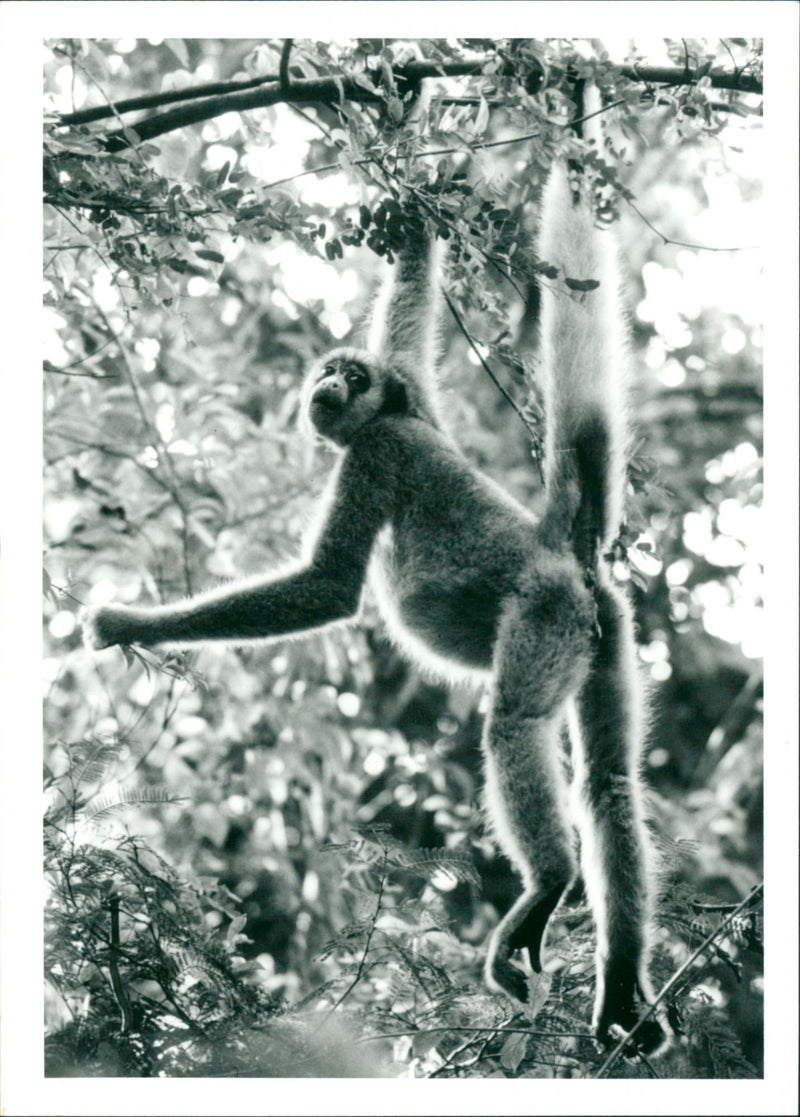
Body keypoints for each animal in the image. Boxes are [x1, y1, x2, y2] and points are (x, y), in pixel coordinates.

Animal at [82, 96, 661, 1054]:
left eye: (346, 376)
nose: (327, 384)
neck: (395, 413)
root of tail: (560, 551)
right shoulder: (412, 390)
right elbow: (413, 299)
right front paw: (409, 154)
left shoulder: (379, 447)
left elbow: (329, 586)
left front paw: (133, 623)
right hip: (605, 630)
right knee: (610, 784)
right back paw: (620, 988)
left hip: (543, 613)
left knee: (512, 725)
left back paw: (548, 883)